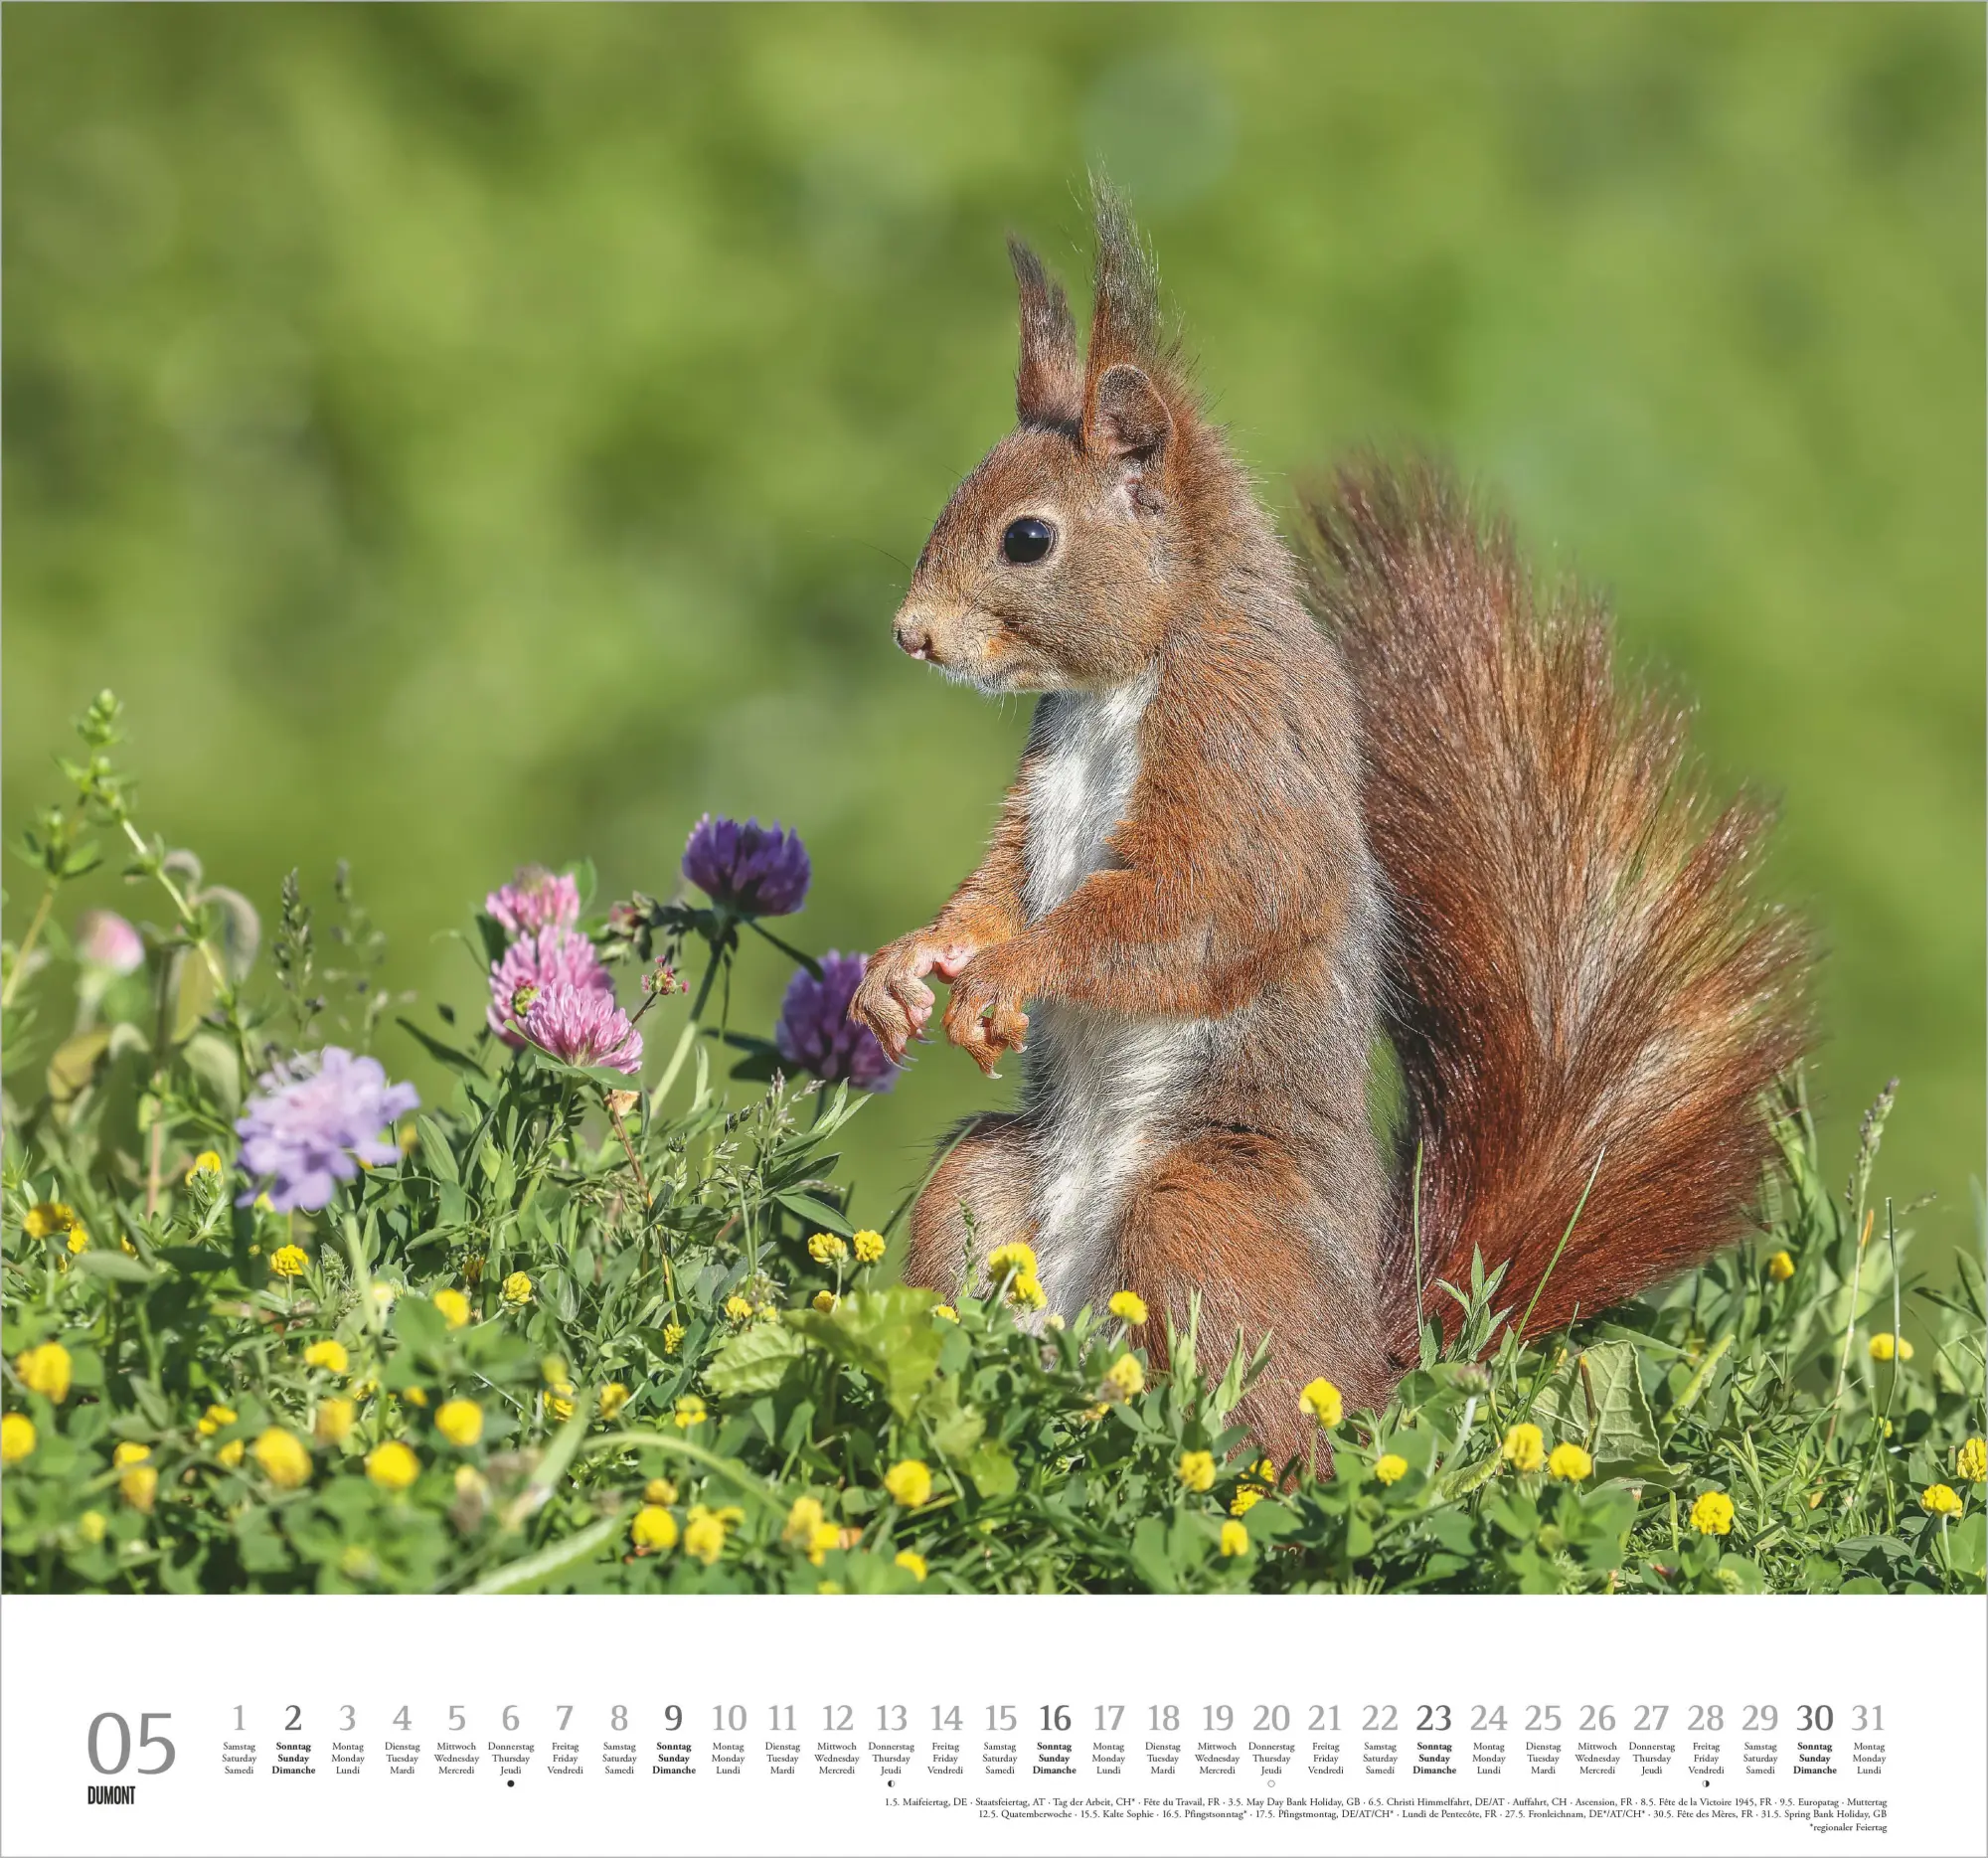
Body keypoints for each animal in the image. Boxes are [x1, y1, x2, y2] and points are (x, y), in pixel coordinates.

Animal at [849, 189, 1808, 1463]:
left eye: (1027, 539)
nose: (909, 634)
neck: (1131, 671)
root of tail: (1367, 1360)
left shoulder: (1240, 755)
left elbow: (1198, 909)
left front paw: (1009, 974)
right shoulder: (1038, 790)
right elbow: (998, 886)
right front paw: (907, 967)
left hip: (1203, 1208)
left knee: (1268, 1423)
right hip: (995, 1183)